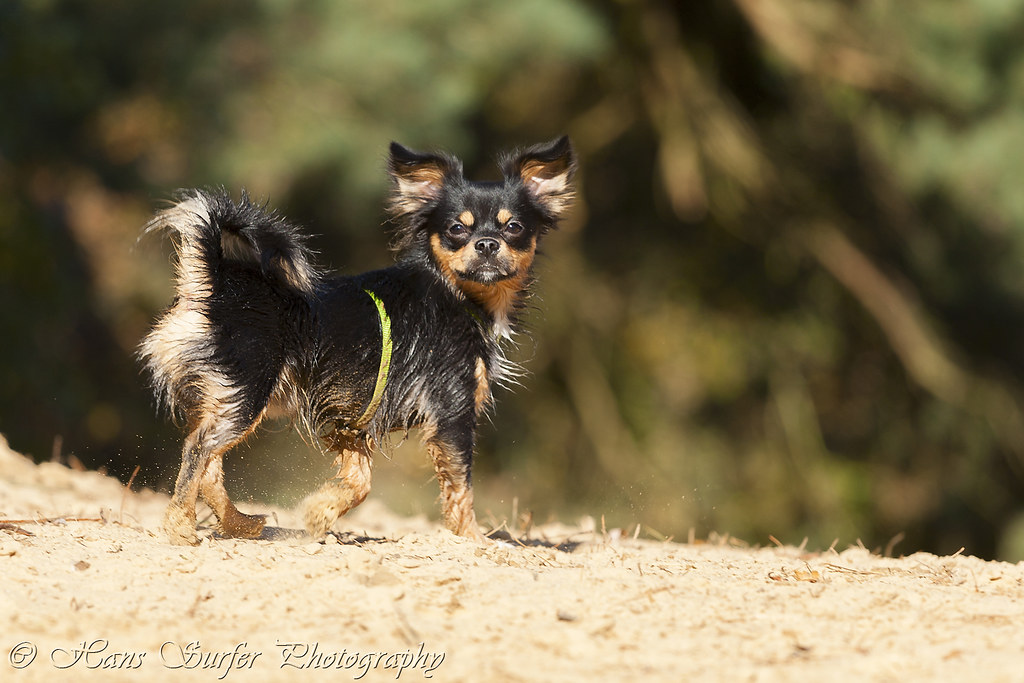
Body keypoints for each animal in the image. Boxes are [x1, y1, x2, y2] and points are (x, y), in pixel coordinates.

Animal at [138, 136, 577, 548]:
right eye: (457, 229)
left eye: (513, 227)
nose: (486, 244)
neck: (455, 292)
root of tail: (213, 284)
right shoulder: (451, 410)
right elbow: (460, 486)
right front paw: (472, 540)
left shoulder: (349, 419)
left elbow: (359, 483)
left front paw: (319, 512)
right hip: (247, 394)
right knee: (198, 449)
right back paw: (180, 527)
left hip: (229, 398)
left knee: (210, 464)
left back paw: (239, 524)